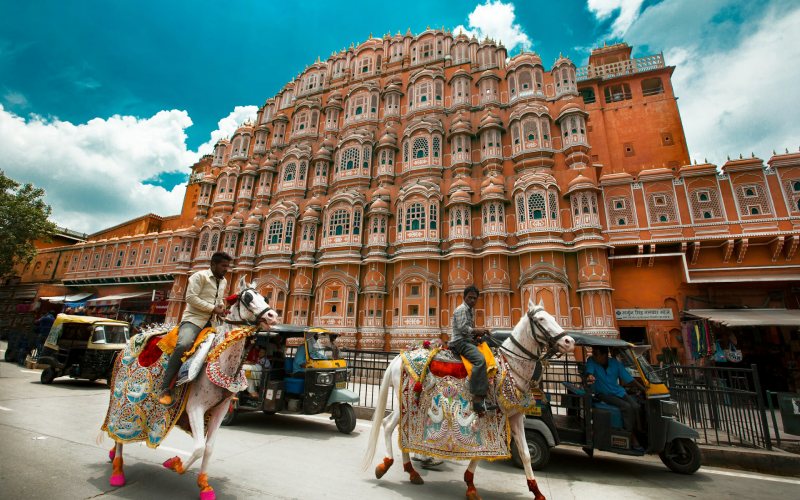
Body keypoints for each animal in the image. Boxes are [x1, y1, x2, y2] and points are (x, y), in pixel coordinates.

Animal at [101, 278, 280, 500]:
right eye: (247, 297)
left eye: (265, 298)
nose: (273, 316)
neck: (222, 363)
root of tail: (130, 342)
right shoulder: (194, 406)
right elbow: (198, 448)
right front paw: (175, 464)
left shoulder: (221, 409)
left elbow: (209, 448)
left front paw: (204, 486)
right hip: (121, 396)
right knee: (118, 432)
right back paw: (117, 470)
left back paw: (112, 455)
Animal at [362, 300, 576, 500]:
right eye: (541, 320)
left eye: (553, 317)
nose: (569, 341)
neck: (511, 367)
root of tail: (398, 358)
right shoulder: (490, 414)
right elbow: (483, 449)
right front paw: (470, 486)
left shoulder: (514, 415)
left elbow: (525, 453)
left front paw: (537, 491)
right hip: (405, 402)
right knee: (388, 425)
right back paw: (386, 465)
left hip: (405, 403)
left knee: (397, 429)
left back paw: (411, 472)